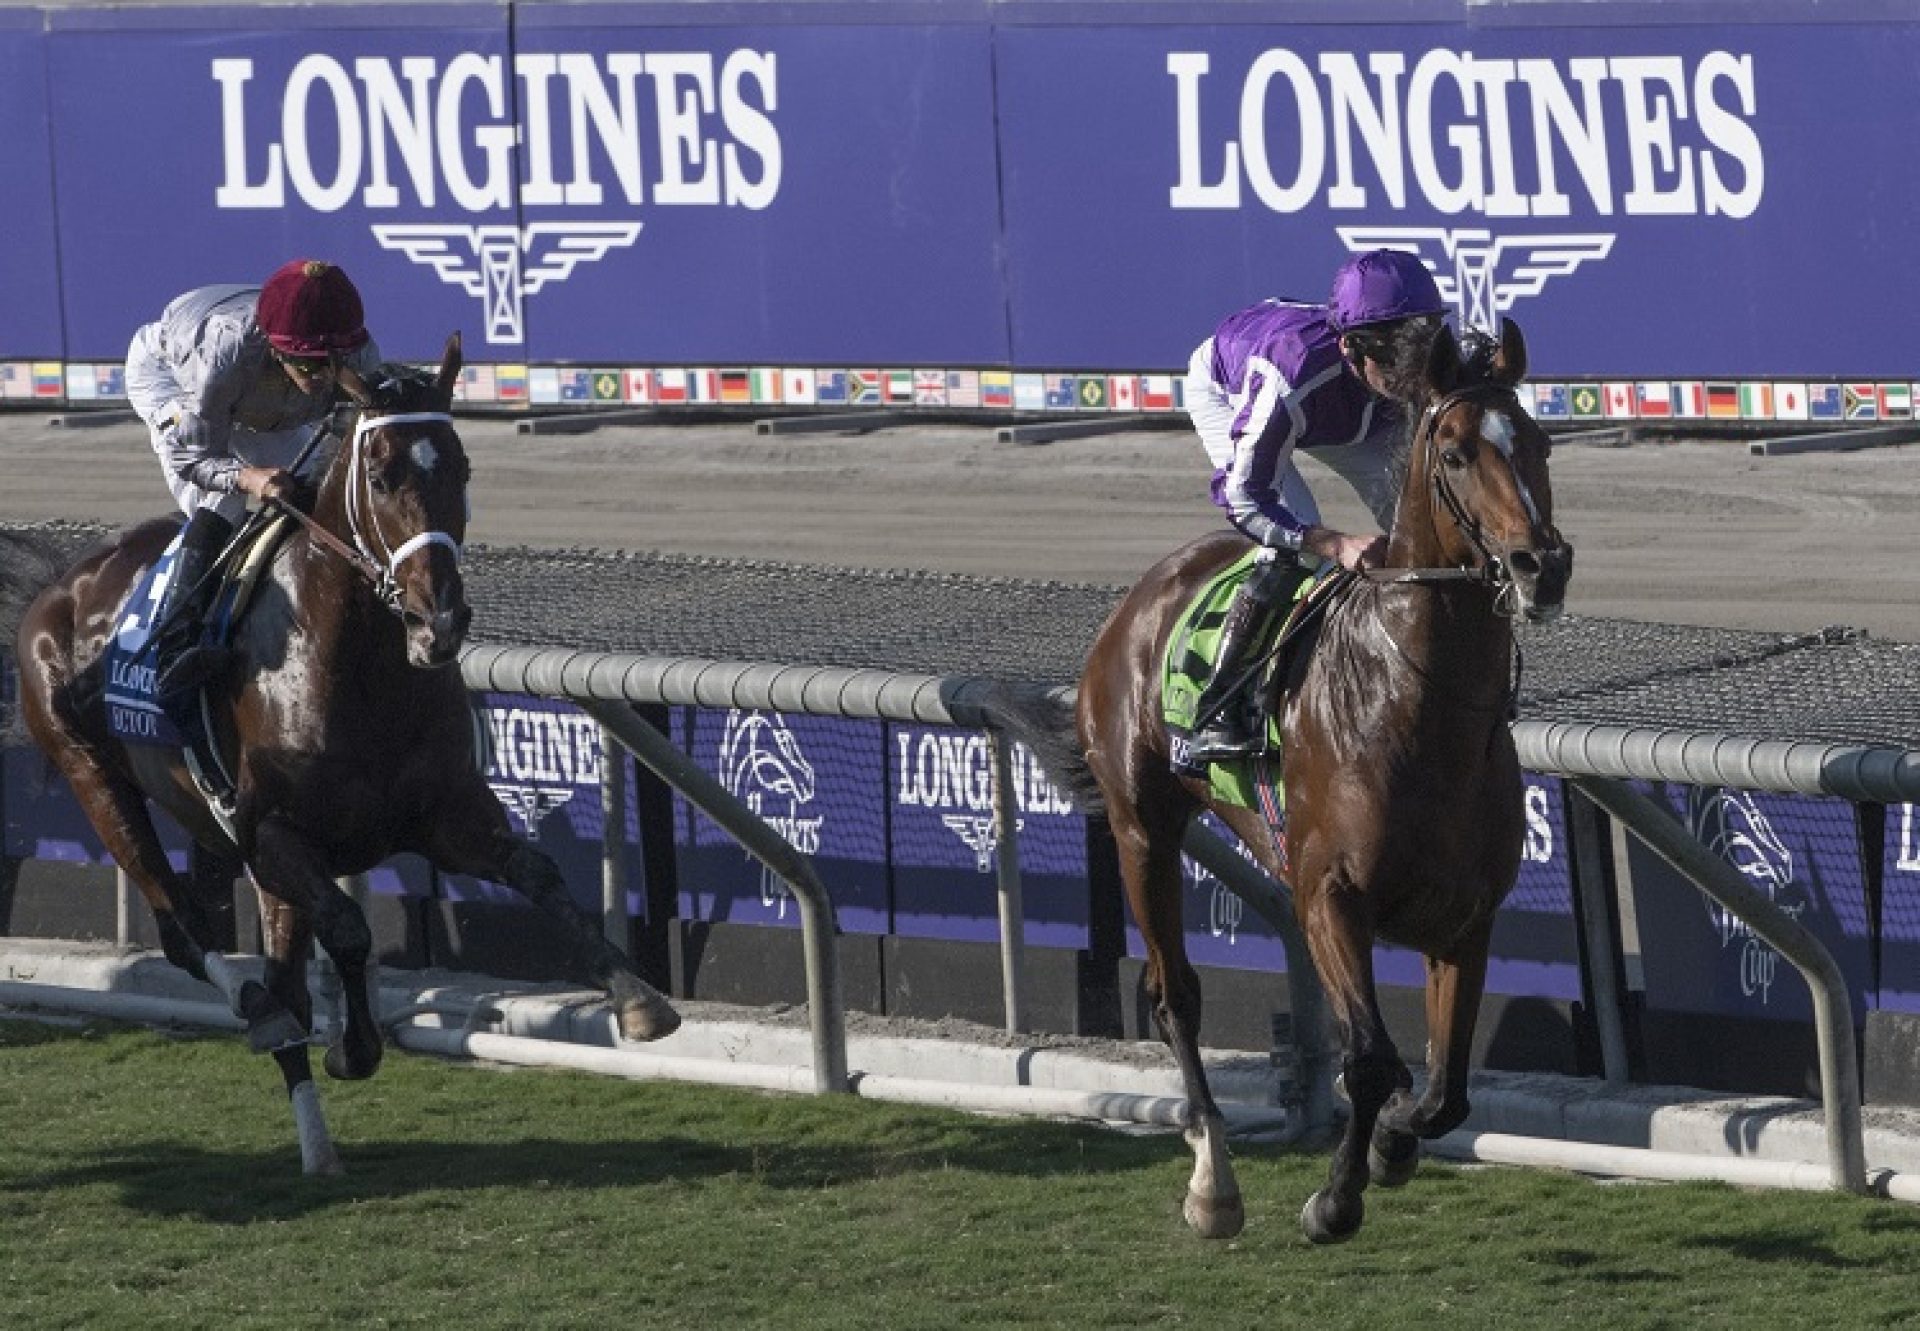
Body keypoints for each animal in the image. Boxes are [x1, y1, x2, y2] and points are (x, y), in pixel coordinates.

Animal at [0, 332, 679, 1175]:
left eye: (460, 466)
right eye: (382, 474)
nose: (439, 618)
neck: (357, 665)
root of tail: (56, 586)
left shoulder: (445, 815)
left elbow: (539, 871)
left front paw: (641, 999)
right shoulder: (276, 836)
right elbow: (352, 928)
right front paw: (354, 1045)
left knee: (278, 978)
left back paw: (316, 1143)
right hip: (95, 777)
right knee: (187, 931)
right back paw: (259, 1017)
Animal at [998, 322, 1566, 1244]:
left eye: (1540, 441)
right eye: (1453, 451)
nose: (1541, 564)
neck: (1414, 706)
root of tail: (1146, 593)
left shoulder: (1468, 915)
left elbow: (1443, 1090)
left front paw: (1392, 1143)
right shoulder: (1329, 894)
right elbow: (1369, 1061)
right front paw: (1336, 1196)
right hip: (1141, 826)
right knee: (1175, 995)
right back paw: (1213, 1183)